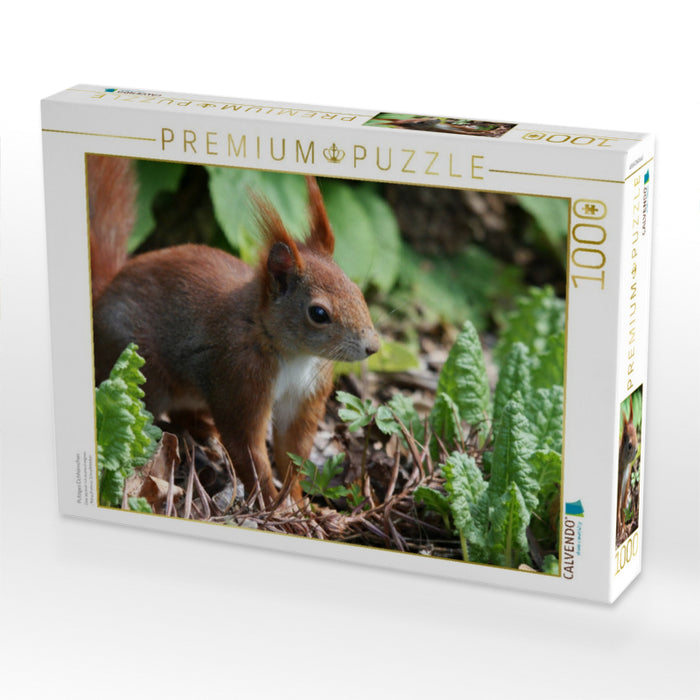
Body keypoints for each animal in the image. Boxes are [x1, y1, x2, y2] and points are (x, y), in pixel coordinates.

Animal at [88, 154, 380, 507]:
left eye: (358, 291)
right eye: (319, 313)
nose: (373, 346)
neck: (292, 353)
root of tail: (103, 292)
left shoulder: (306, 393)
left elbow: (292, 450)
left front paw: (297, 500)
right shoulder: (239, 376)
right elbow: (248, 450)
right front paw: (273, 504)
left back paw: (203, 429)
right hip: (142, 372)